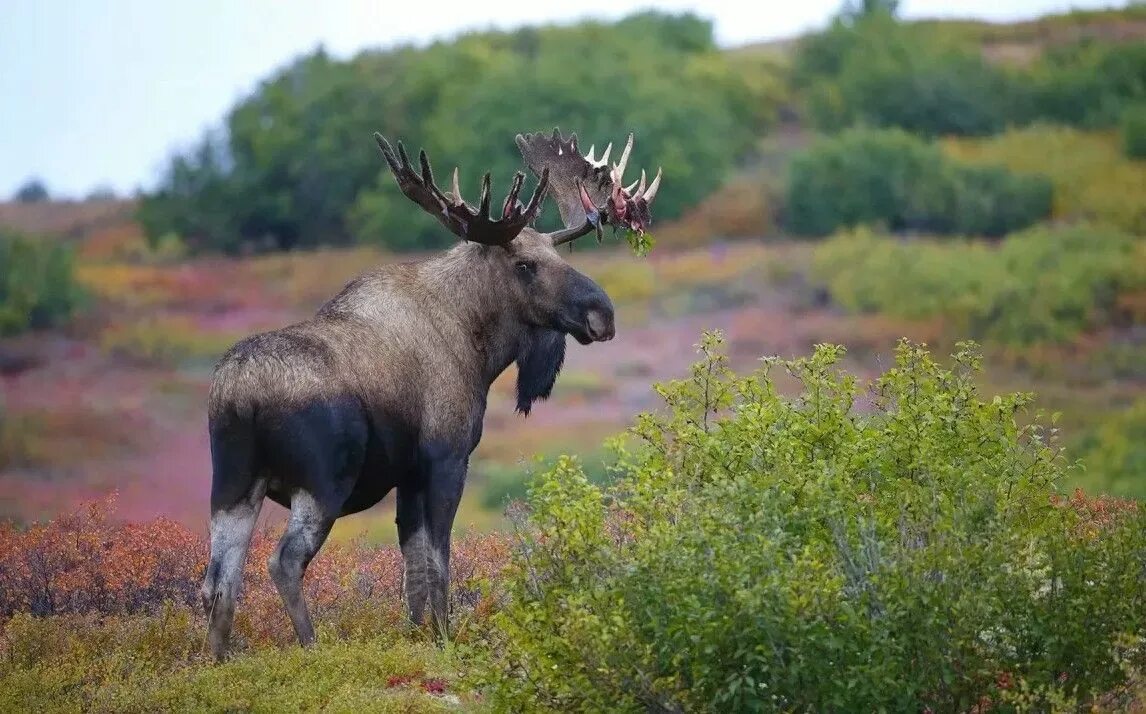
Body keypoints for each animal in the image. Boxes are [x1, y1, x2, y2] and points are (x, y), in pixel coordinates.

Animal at [201, 127, 660, 660]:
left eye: (559, 256)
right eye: (525, 265)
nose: (601, 313)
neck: (480, 347)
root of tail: (241, 396)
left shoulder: (408, 473)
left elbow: (413, 567)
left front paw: (421, 634)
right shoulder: (446, 456)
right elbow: (438, 558)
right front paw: (444, 638)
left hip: (233, 483)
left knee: (219, 582)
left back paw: (218, 660)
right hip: (323, 480)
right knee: (284, 561)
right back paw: (312, 646)